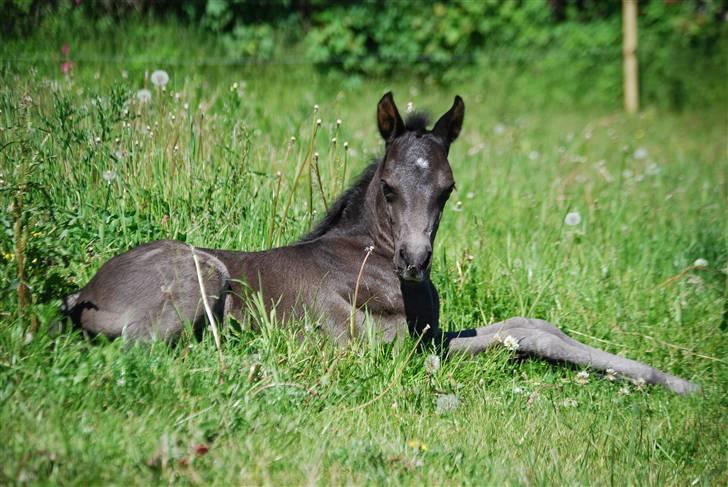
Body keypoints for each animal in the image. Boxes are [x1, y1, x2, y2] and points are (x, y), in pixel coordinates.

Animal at [64, 93, 700, 394]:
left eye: (447, 189)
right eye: (390, 187)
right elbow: (517, 337)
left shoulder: (431, 329)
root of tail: (84, 294)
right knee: (149, 351)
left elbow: (528, 324)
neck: (369, 255)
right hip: (204, 277)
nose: (414, 262)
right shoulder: (398, 345)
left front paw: (674, 379)